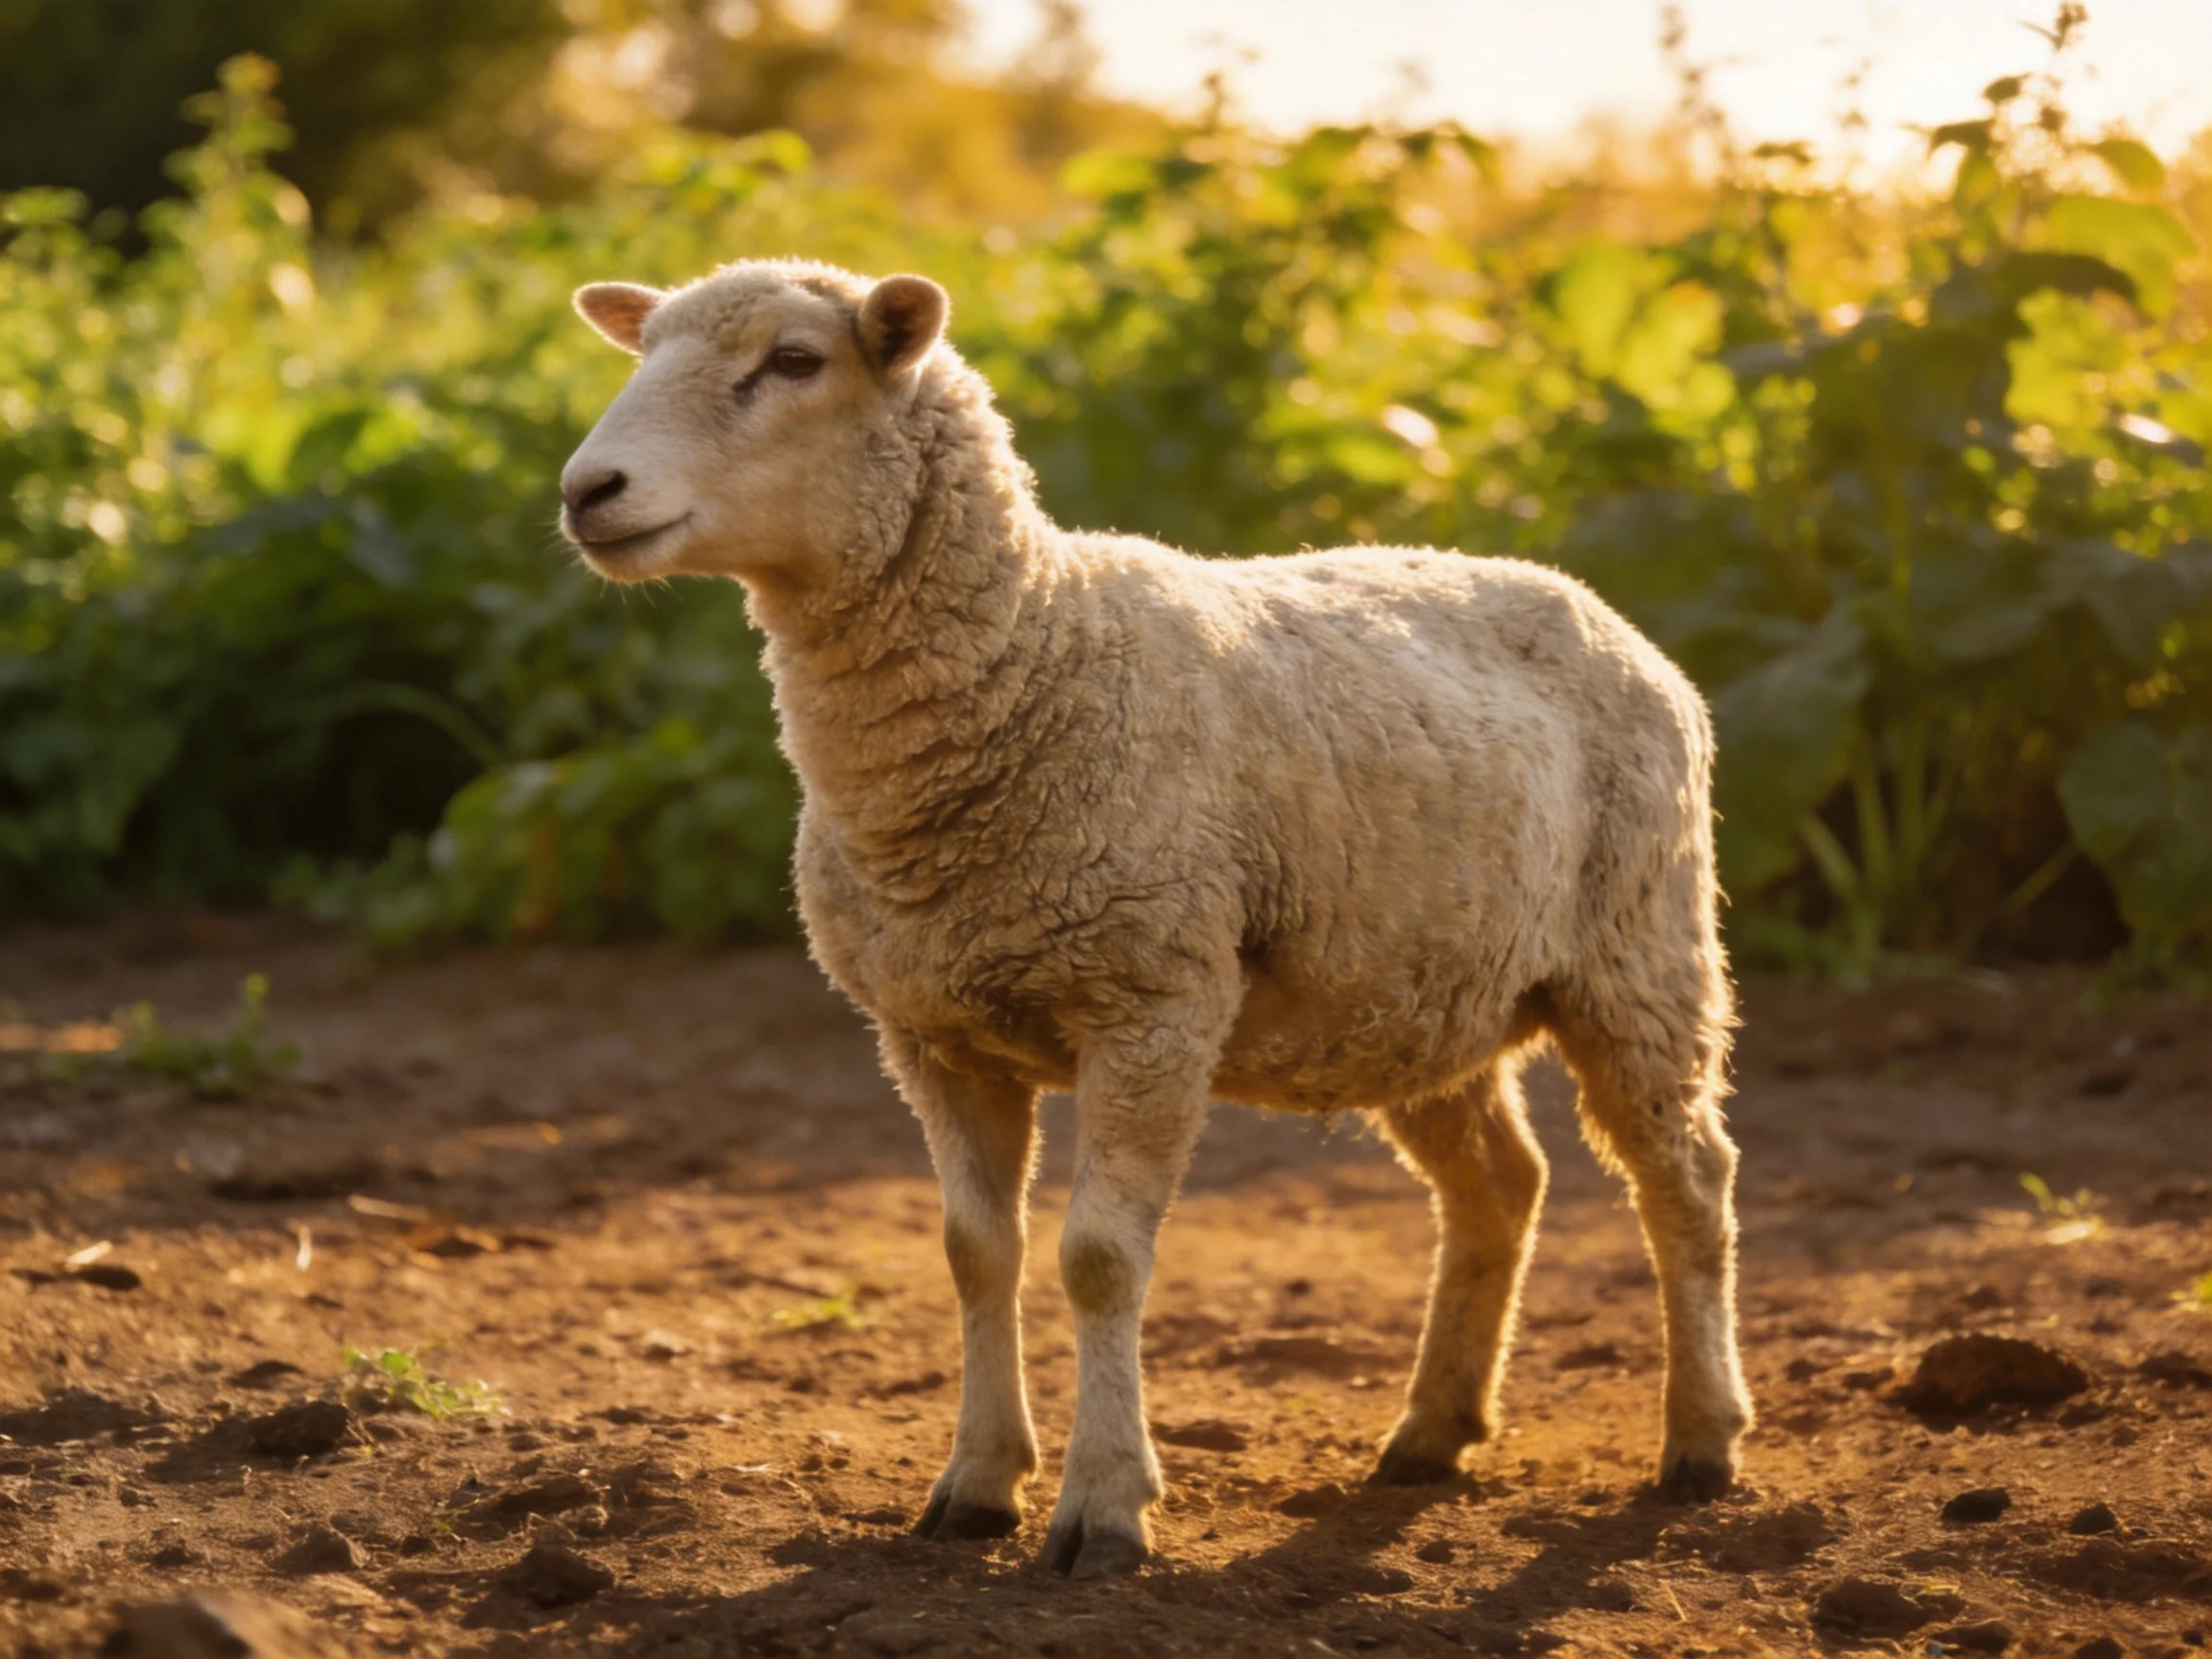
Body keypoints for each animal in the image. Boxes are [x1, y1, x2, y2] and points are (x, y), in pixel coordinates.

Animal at [557, 258, 1752, 1579]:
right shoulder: (931, 1033)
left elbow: (1096, 1259)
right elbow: (975, 1254)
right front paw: (976, 1484)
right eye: (644, 351)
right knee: (1501, 1183)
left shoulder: (1151, 1004)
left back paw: (1701, 1440)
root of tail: (1589, 602)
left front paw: (1103, 1508)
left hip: (1641, 948)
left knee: (1687, 1177)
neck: (1035, 655)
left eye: (795, 361)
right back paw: (1432, 1433)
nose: (586, 492)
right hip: (1417, 989)